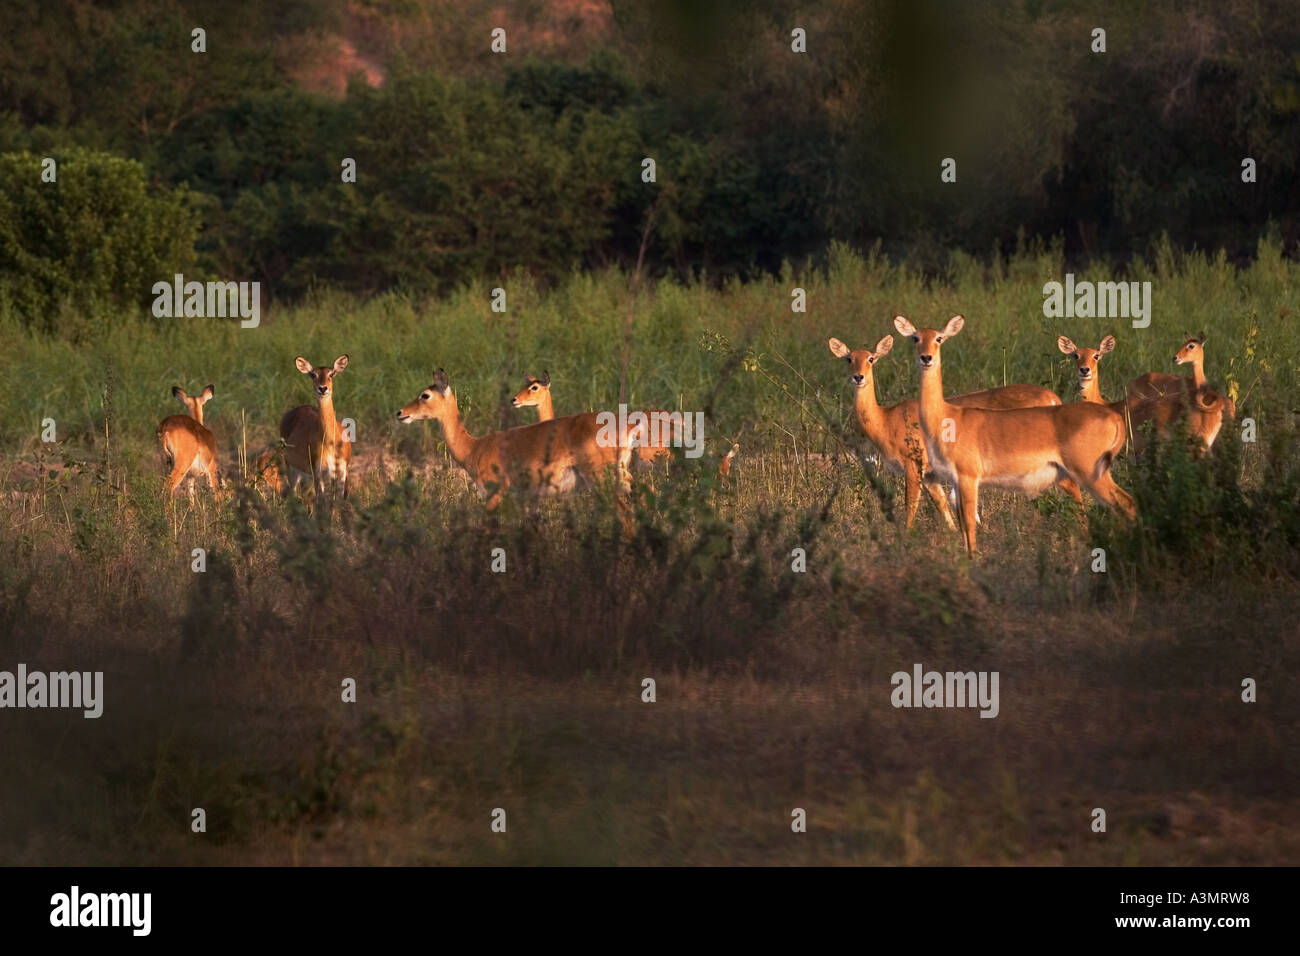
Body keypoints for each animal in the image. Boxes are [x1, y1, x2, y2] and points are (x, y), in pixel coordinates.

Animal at [279, 353, 351, 502]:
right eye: (313, 374)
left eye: (332, 373)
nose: (323, 388)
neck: (331, 444)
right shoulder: (318, 472)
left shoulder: (342, 471)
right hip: (291, 466)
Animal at [832, 335, 1076, 530]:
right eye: (849, 358)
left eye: (871, 358)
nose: (858, 377)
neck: (886, 419)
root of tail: (1054, 399)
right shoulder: (931, 475)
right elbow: (943, 509)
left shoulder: (913, 464)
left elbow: (910, 507)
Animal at [889, 316, 1133, 554]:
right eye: (915, 337)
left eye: (939, 338)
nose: (926, 357)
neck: (946, 416)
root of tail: (1114, 417)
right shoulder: (954, 481)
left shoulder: (968, 477)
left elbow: (969, 525)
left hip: (1090, 473)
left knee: (1126, 502)